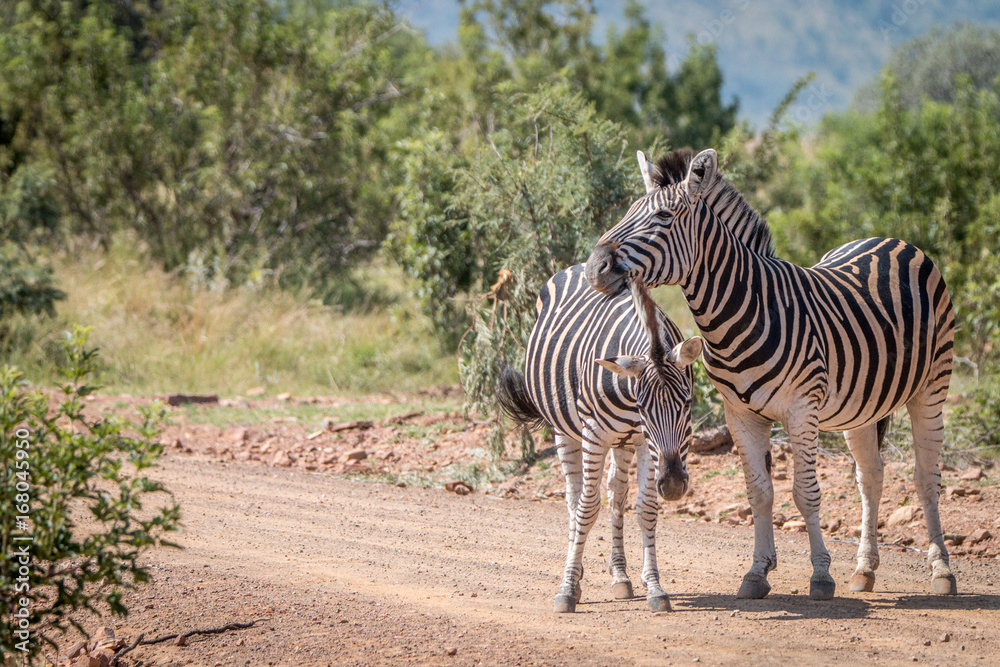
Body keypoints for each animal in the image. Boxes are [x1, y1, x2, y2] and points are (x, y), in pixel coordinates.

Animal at [497, 263, 702, 613]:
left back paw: (621, 576)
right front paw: (567, 589)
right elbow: (587, 507)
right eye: (643, 406)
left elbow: (645, 507)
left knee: (616, 494)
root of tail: (577, 266)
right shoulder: (595, 433)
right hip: (566, 431)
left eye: (686, 403)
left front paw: (655, 587)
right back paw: (575, 573)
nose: (674, 484)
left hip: (623, 442)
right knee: (574, 497)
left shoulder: (644, 443)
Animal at [585, 147, 957, 601]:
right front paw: (757, 573)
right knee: (871, 476)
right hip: (862, 406)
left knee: (926, 476)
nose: (593, 268)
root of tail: (892, 240)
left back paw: (941, 570)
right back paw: (864, 570)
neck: (745, 312)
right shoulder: (740, 415)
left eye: (664, 217)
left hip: (932, 385)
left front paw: (821, 576)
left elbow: (806, 493)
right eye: (627, 212)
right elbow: (759, 493)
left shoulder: (802, 409)